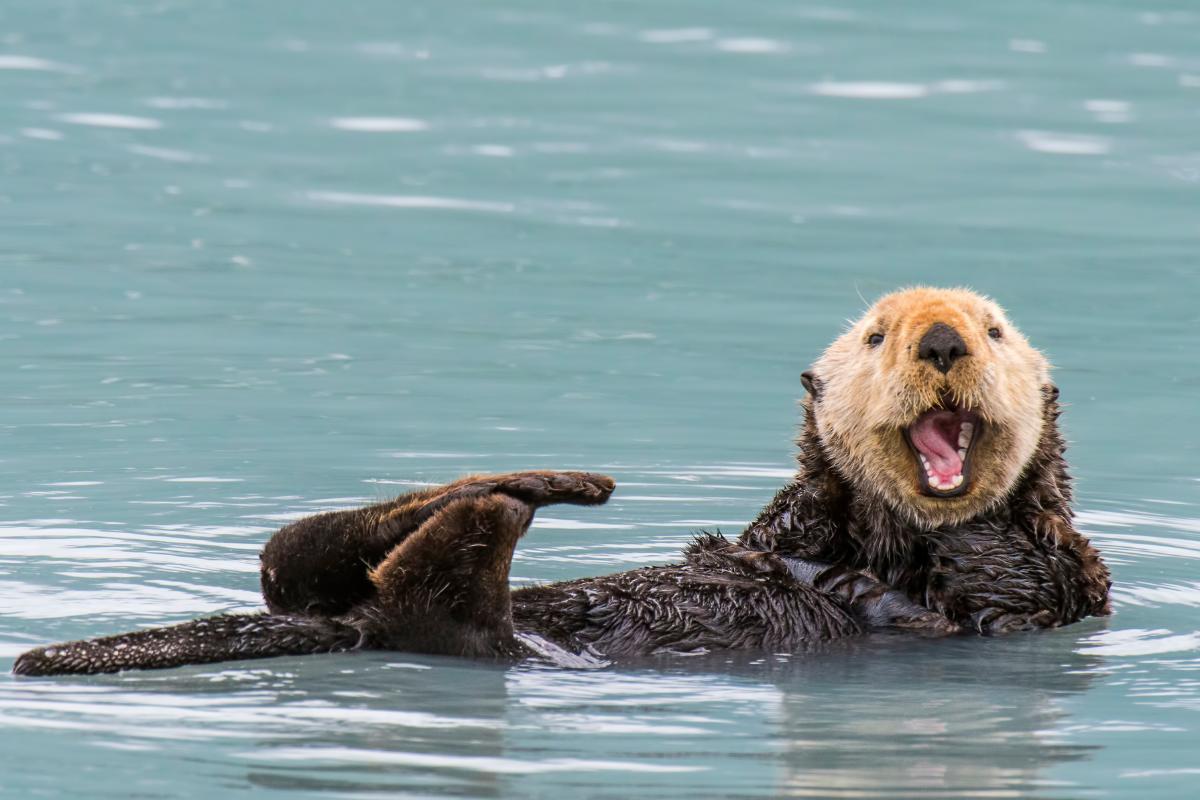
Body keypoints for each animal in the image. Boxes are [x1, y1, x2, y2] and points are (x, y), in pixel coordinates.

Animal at [12, 287, 1110, 676]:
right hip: (337, 588)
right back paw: (536, 482)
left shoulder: (1055, 582)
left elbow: (998, 575)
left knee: (417, 598)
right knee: (295, 557)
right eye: (878, 336)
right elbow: (769, 536)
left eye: (994, 330)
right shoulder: (786, 526)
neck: (883, 535)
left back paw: (504, 505)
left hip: (474, 635)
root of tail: (348, 625)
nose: (940, 341)